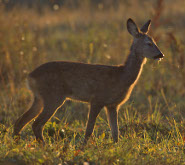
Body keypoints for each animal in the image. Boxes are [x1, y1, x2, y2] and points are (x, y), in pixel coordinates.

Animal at [13, 18, 163, 144]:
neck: (122, 76)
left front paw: (117, 147)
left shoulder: (113, 105)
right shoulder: (97, 100)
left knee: (20, 121)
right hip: (53, 97)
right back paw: (44, 147)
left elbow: (115, 132)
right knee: (36, 124)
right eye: (149, 43)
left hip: (39, 98)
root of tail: (30, 77)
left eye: (155, 42)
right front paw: (84, 147)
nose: (161, 54)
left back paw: (18, 144)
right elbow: (89, 130)